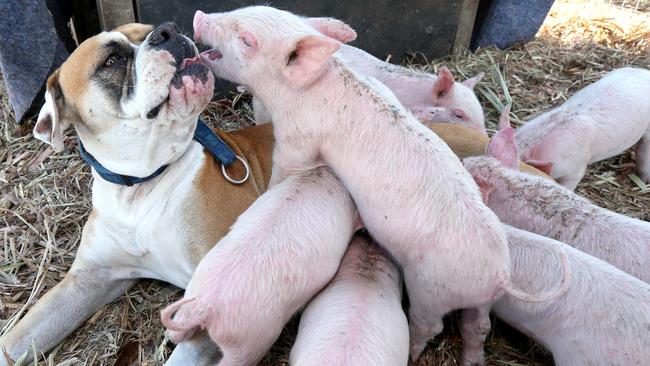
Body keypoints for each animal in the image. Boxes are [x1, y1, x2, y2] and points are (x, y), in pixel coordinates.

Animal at [0, 23, 548, 366]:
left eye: (152, 30)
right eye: (112, 59)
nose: (169, 29)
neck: (148, 179)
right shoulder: (88, 281)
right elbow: (16, 340)